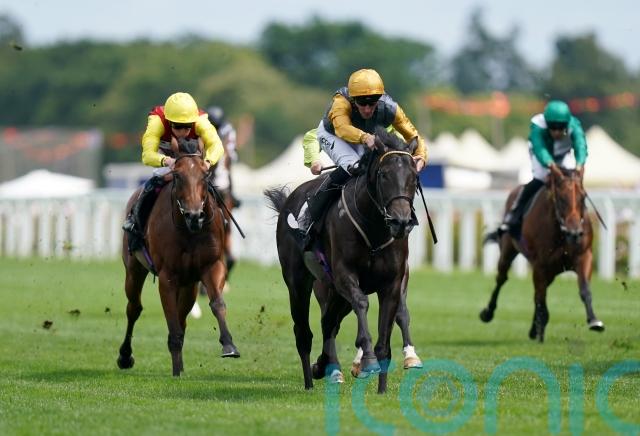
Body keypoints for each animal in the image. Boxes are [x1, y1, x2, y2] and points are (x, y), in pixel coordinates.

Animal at [117, 138, 240, 376]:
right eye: (177, 176)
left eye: (205, 175)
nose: (195, 215)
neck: (189, 230)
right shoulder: (167, 277)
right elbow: (172, 322)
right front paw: (175, 372)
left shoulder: (210, 266)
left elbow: (217, 303)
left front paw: (229, 345)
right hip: (134, 268)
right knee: (134, 308)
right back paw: (125, 356)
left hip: (189, 284)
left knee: (182, 317)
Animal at [264, 127, 419, 393]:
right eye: (384, 175)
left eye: (414, 176)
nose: (400, 221)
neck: (374, 229)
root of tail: (289, 200)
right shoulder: (345, 275)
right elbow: (362, 304)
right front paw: (367, 360)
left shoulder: (392, 283)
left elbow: (390, 331)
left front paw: (382, 387)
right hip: (299, 282)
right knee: (304, 332)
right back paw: (311, 380)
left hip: (333, 291)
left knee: (328, 323)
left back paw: (325, 366)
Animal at [480, 166, 605, 342]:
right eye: (561, 198)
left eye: (583, 197)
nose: (574, 233)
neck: (562, 232)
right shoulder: (540, 265)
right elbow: (541, 299)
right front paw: (540, 329)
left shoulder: (583, 256)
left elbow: (585, 289)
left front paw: (594, 321)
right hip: (508, 250)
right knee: (502, 279)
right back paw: (488, 313)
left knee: (537, 293)